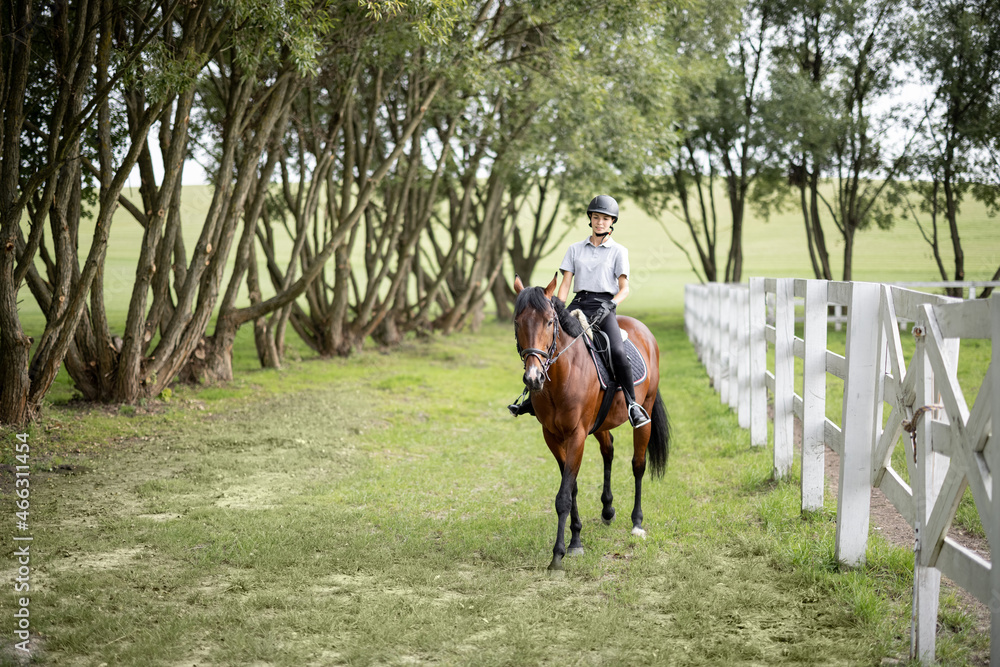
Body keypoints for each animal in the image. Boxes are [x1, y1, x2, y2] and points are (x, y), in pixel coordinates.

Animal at [512, 274, 668, 572]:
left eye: (549, 322)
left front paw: (558, 555)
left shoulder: (576, 435)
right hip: (601, 424)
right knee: (609, 451)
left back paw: (637, 523)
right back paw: (607, 510)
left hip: (645, 412)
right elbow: (571, 487)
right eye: (517, 322)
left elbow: (563, 495)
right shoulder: (552, 436)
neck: (563, 376)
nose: (533, 378)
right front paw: (575, 542)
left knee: (638, 465)